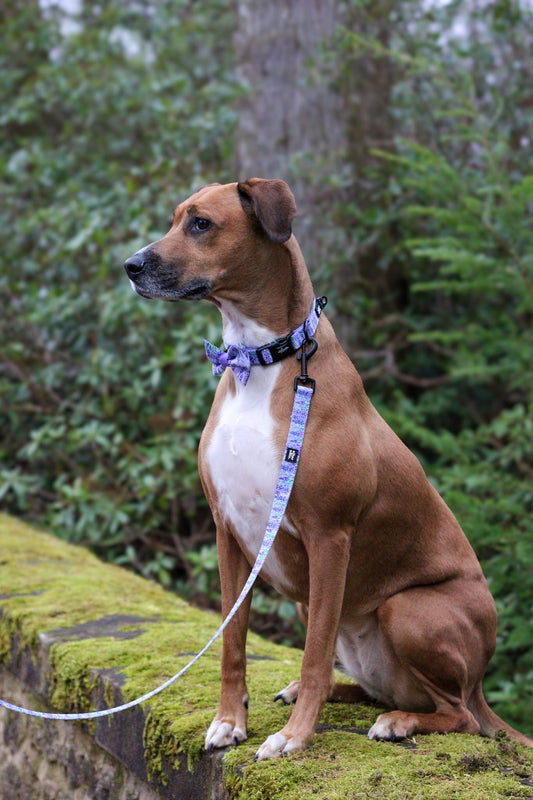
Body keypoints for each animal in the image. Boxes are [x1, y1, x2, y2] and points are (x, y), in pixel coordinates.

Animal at [124, 178, 532, 759]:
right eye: (175, 218)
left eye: (201, 224)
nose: (131, 265)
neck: (262, 360)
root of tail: (479, 686)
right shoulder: (228, 533)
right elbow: (232, 641)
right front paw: (230, 721)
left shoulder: (329, 538)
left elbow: (315, 652)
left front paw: (294, 738)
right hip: (314, 602)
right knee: (378, 689)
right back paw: (317, 694)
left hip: (408, 609)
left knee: (459, 716)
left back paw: (397, 722)